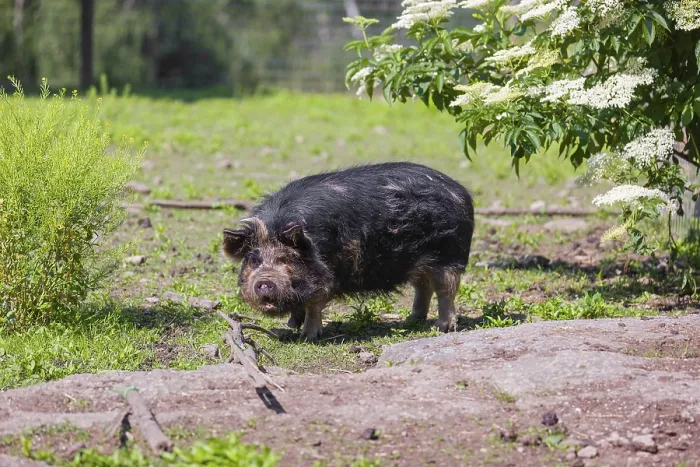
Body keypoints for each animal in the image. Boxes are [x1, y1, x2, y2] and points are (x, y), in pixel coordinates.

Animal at [221, 162, 474, 340]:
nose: (264, 282)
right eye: (253, 260)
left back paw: (442, 328)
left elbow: (314, 305)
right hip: (418, 262)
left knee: (445, 290)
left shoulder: (327, 277)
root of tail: (461, 192)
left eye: (286, 259)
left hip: (449, 256)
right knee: (423, 287)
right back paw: (410, 321)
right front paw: (291, 325)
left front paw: (308, 336)